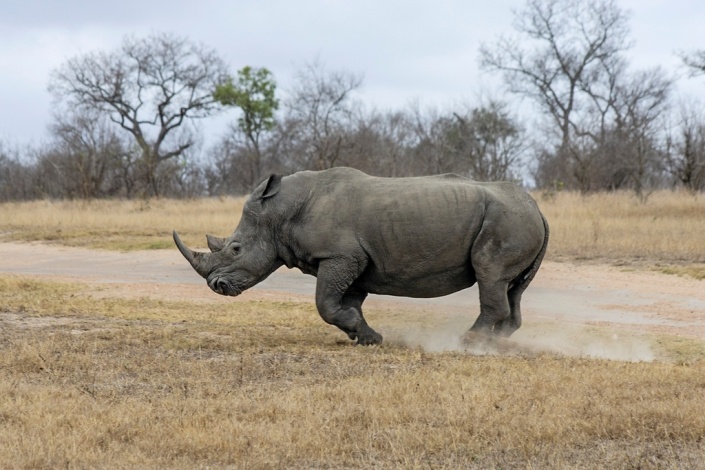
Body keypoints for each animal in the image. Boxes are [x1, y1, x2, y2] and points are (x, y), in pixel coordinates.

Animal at [174, 167, 549, 345]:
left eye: (236, 248)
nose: (216, 286)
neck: (279, 213)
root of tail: (537, 208)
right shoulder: (354, 260)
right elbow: (346, 303)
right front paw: (366, 337)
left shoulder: (338, 256)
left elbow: (325, 304)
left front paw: (362, 333)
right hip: (516, 219)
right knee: (512, 287)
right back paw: (495, 341)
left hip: (507, 221)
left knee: (491, 276)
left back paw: (468, 342)